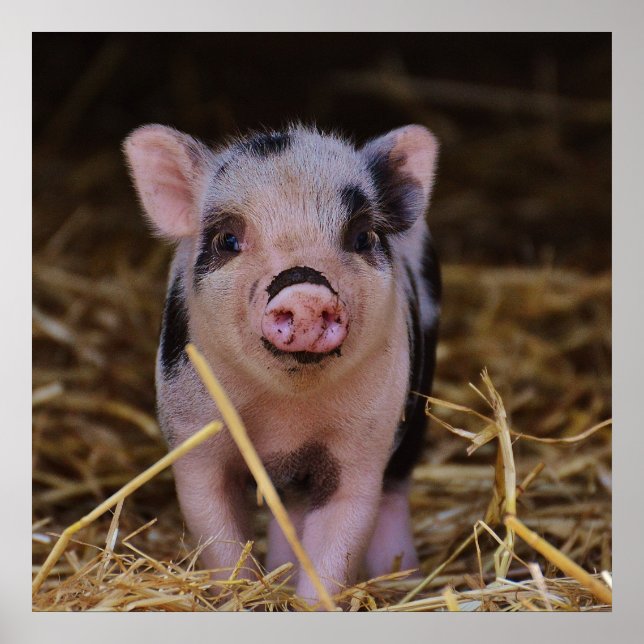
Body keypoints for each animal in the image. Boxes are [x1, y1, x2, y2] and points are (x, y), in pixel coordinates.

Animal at [123, 122, 441, 606]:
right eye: (228, 240)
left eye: (362, 237)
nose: (305, 290)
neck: (286, 417)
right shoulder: (194, 436)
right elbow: (218, 537)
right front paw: (244, 598)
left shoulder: (362, 447)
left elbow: (339, 540)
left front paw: (308, 603)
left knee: (393, 493)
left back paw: (402, 580)